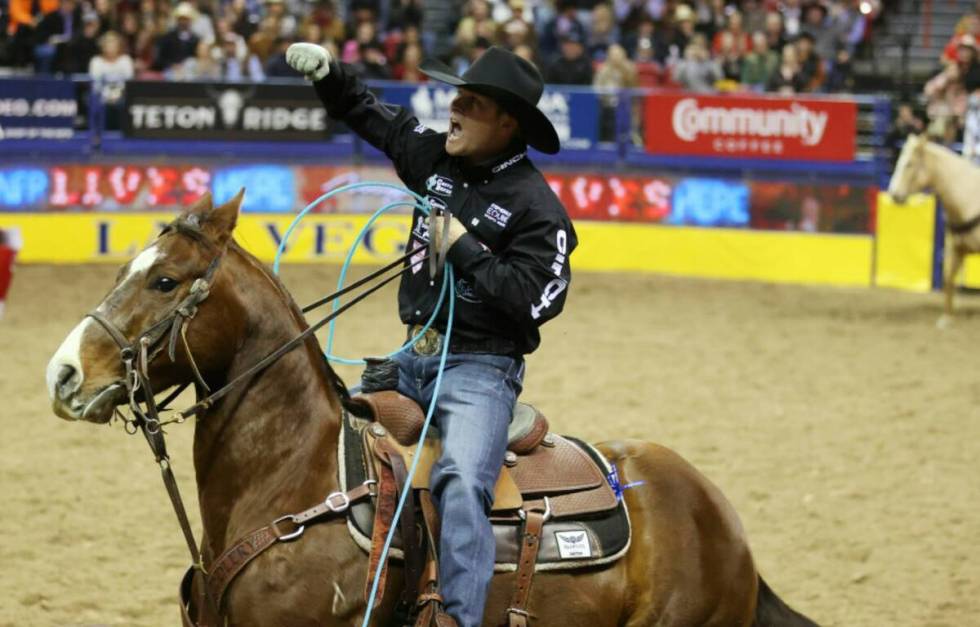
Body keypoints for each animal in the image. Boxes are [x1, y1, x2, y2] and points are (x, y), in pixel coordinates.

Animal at [892, 134, 980, 324]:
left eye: (909, 163)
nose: (893, 194)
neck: (970, 197)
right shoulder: (956, 248)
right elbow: (948, 278)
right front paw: (947, 318)